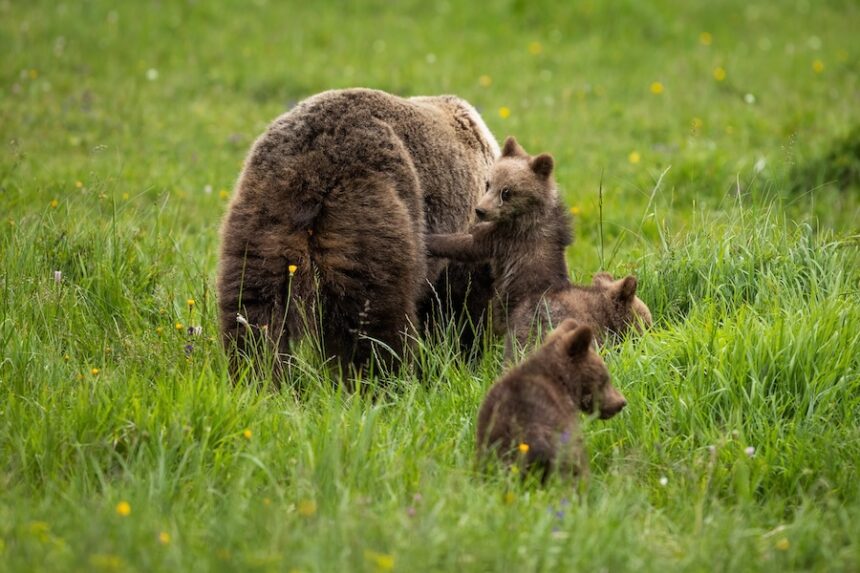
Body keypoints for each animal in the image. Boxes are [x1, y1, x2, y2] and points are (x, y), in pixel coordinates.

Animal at [217, 88, 499, 381]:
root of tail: (311, 167)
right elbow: (462, 306)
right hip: (372, 212)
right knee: (372, 317)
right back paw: (380, 379)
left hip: (262, 219)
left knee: (253, 309)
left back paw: (257, 377)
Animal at [424, 136, 652, 358]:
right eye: (488, 183)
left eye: (506, 191)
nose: (480, 210)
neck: (525, 214)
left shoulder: (508, 238)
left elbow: (468, 245)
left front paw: (431, 239)